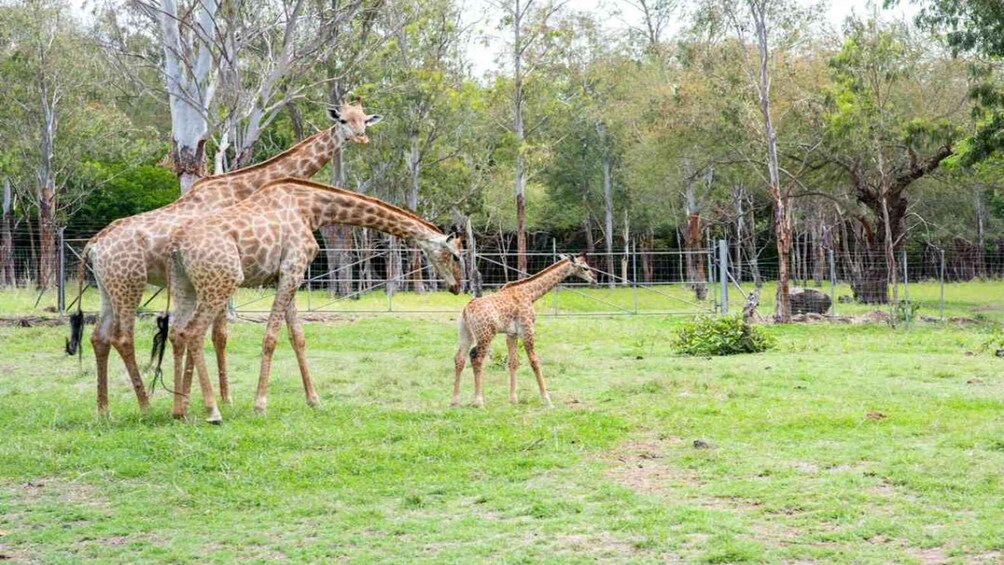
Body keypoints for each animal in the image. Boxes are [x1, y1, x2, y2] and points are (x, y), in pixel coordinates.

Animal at [64, 102, 381, 415]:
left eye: (364, 119)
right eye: (342, 120)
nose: (361, 137)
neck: (240, 189)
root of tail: (93, 245)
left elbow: (213, 335)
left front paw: (212, 398)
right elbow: (214, 335)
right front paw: (216, 400)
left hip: (106, 287)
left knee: (99, 337)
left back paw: (103, 410)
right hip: (130, 284)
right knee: (123, 337)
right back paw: (145, 405)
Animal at [451, 253, 590, 409]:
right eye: (585, 267)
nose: (594, 278)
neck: (530, 294)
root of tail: (466, 310)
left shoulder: (511, 333)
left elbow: (513, 362)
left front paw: (513, 399)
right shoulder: (527, 328)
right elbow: (534, 361)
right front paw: (547, 400)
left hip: (465, 333)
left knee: (459, 358)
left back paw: (454, 400)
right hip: (485, 334)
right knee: (476, 358)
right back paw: (478, 401)